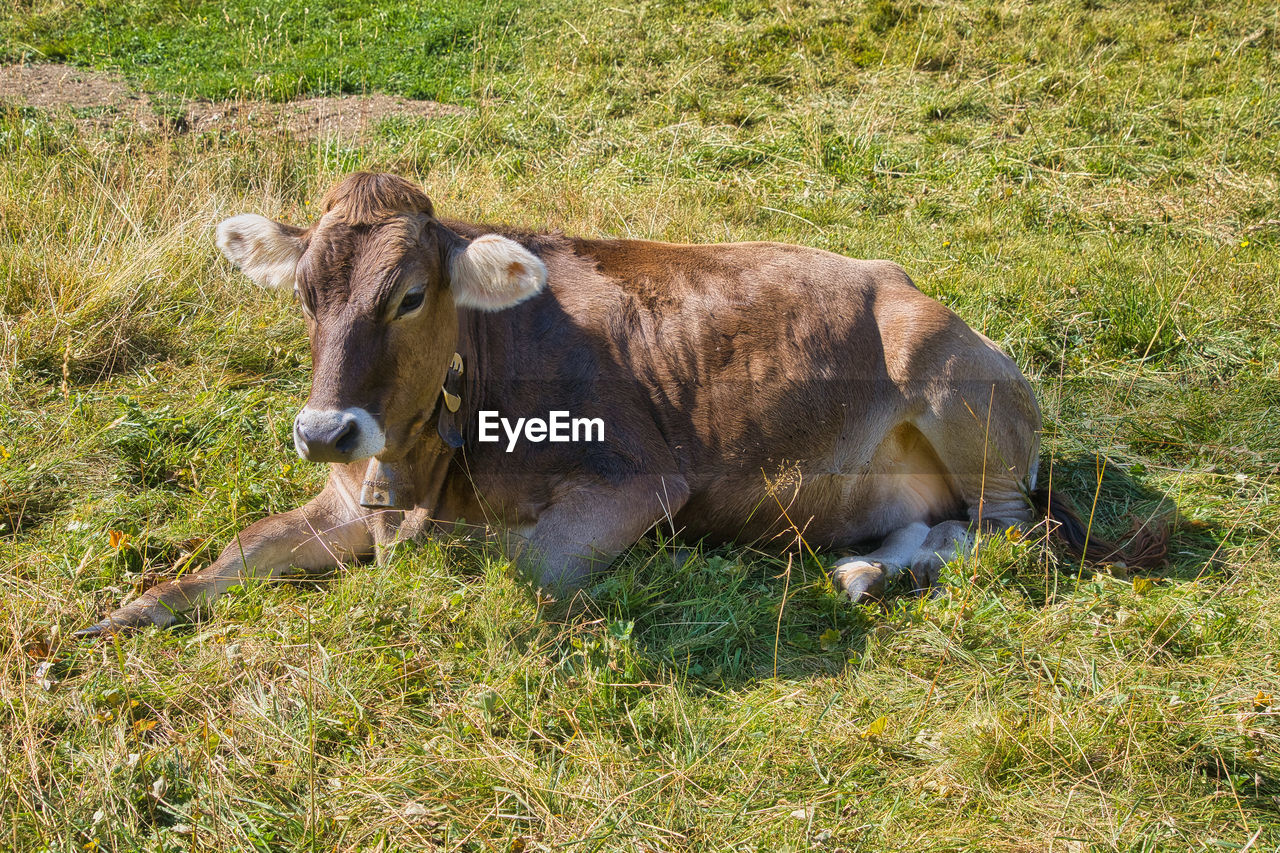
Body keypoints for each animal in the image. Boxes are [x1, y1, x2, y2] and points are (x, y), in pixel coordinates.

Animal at [74, 172, 1167, 635]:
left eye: (410, 294)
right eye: (305, 294)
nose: (324, 428)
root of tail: (910, 284)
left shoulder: (639, 482)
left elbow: (510, 568)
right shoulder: (350, 491)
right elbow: (233, 554)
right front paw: (120, 615)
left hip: (949, 381)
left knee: (1016, 536)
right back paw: (865, 571)